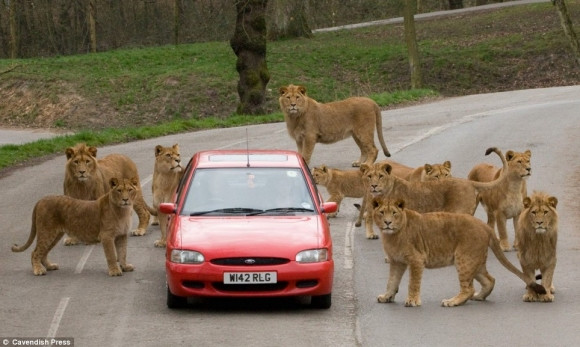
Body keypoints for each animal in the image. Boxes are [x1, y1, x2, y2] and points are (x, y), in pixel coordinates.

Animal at [11, 177, 139, 278]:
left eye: (130, 190)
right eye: (119, 190)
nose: (125, 199)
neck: (123, 211)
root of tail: (40, 200)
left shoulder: (122, 235)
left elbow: (123, 253)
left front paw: (125, 266)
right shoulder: (107, 236)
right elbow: (111, 255)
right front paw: (115, 271)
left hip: (55, 235)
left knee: (43, 252)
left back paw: (50, 266)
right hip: (46, 232)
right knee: (35, 252)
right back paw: (38, 270)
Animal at [372, 197, 544, 308]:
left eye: (394, 213)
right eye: (382, 212)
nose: (387, 222)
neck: (391, 235)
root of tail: (484, 225)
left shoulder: (416, 260)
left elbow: (413, 282)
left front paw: (412, 300)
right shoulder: (396, 261)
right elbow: (392, 281)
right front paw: (387, 296)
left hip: (464, 259)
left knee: (468, 288)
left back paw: (452, 301)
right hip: (474, 261)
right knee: (489, 280)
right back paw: (479, 297)